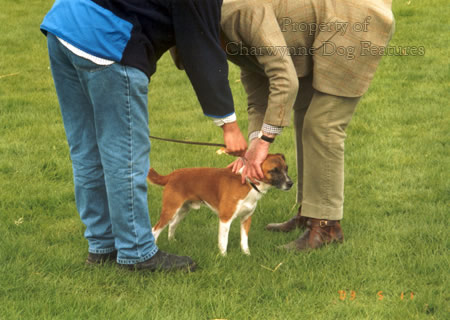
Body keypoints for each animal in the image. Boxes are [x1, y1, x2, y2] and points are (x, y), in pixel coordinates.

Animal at [148, 154, 294, 256]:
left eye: (286, 168)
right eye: (274, 170)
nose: (290, 183)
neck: (247, 184)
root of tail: (172, 175)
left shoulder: (246, 219)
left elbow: (244, 241)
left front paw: (247, 254)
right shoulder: (225, 219)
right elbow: (223, 242)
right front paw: (224, 257)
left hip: (183, 210)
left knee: (172, 225)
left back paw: (172, 241)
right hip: (170, 210)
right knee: (155, 230)